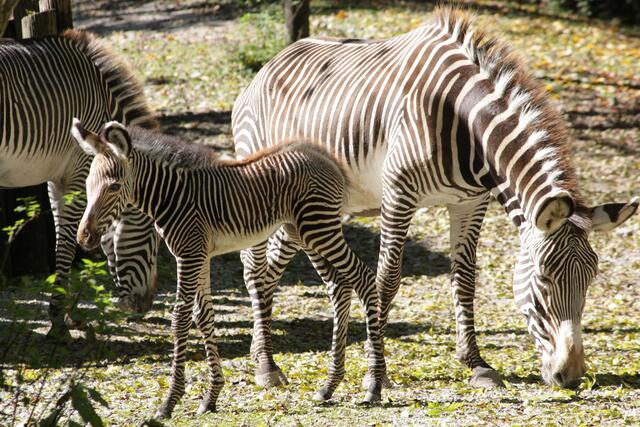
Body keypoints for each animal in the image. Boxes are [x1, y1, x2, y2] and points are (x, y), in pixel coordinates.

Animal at [0, 30, 160, 338]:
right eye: (155, 238)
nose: (146, 305)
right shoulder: (79, 169)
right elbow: (66, 242)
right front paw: (58, 320)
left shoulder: (57, 177)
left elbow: (63, 234)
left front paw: (67, 315)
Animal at [71, 119, 386, 418]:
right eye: (87, 185)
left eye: (114, 186)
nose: (84, 238)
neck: (172, 197)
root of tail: (324, 157)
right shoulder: (201, 256)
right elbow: (204, 318)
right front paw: (211, 397)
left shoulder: (189, 255)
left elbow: (180, 319)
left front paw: (170, 402)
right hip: (303, 232)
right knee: (339, 287)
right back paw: (329, 386)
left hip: (319, 228)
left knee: (363, 278)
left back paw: (374, 385)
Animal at [232, 6, 638, 389]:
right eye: (543, 279)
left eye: (590, 278)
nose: (571, 376)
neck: (465, 123)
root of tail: (270, 65)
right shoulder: (399, 193)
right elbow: (388, 279)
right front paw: (376, 372)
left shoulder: (470, 202)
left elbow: (465, 279)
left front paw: (477, 364)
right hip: (265, 185)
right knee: (254, 266)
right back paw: (267, 366)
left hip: (306, 204)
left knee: (275, 267)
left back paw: (261, 353)